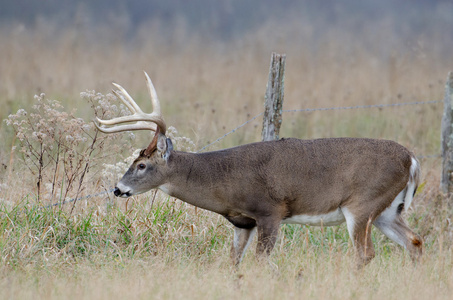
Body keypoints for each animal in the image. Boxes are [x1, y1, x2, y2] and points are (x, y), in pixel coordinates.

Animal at [93, 72, 422, 268]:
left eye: (141, 165)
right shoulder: (243, 222)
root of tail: (412, 160)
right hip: (388, 210)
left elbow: (261, 261)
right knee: (414, 241)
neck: (224, 181)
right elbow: (234, 260)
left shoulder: (270, 211)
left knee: (366, 253)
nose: (118, 189)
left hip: (362, 204)